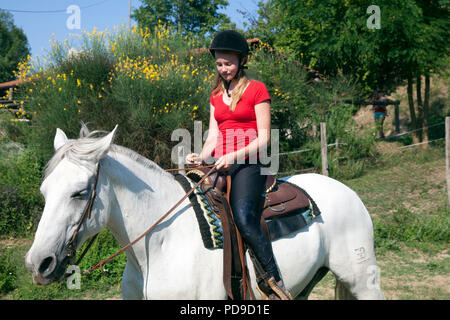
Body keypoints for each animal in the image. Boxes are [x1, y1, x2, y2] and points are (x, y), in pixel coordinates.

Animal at [24, 125, 384, 300]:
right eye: (44, 192)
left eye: (79, 192)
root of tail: (346, 191)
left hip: (362, 280)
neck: (162, 245)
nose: (38, 264)